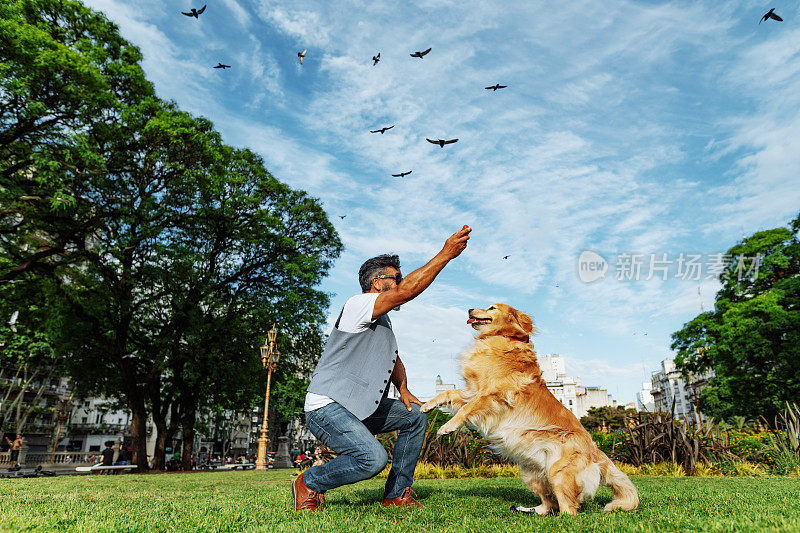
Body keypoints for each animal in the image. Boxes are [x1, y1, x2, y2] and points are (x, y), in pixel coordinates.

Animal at [418, 306, 636, 512]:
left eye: (492, 307)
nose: (469, 309)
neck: (500, 338)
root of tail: (594, 449)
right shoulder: (472, 391)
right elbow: (447, 393)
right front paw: (427, 405)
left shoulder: (491, 395)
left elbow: (466, 409)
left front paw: (447, 427)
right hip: (532, 473)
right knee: (549, 504)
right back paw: (528, 510)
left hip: (557, 472)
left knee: (568, 508)